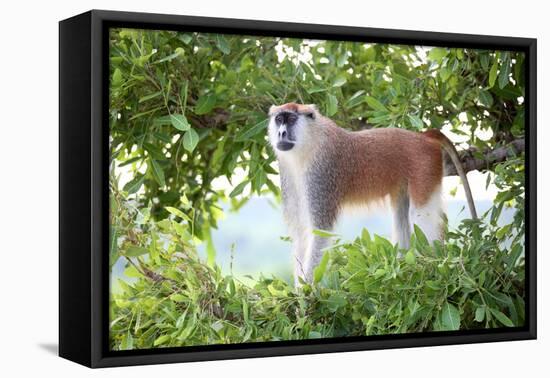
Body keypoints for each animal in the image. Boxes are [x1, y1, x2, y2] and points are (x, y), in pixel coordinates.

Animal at [268, 102, 478, 284]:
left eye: (291, 119)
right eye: (279, 119)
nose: (281, 132)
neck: (310, 141)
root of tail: (423, 137)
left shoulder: (321, 176)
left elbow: (320, 230)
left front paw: (306, 293)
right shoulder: (290, 175)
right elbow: (300, 232)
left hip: (425, 166)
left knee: (421, 214)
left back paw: (432, 267)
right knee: (402, 213)